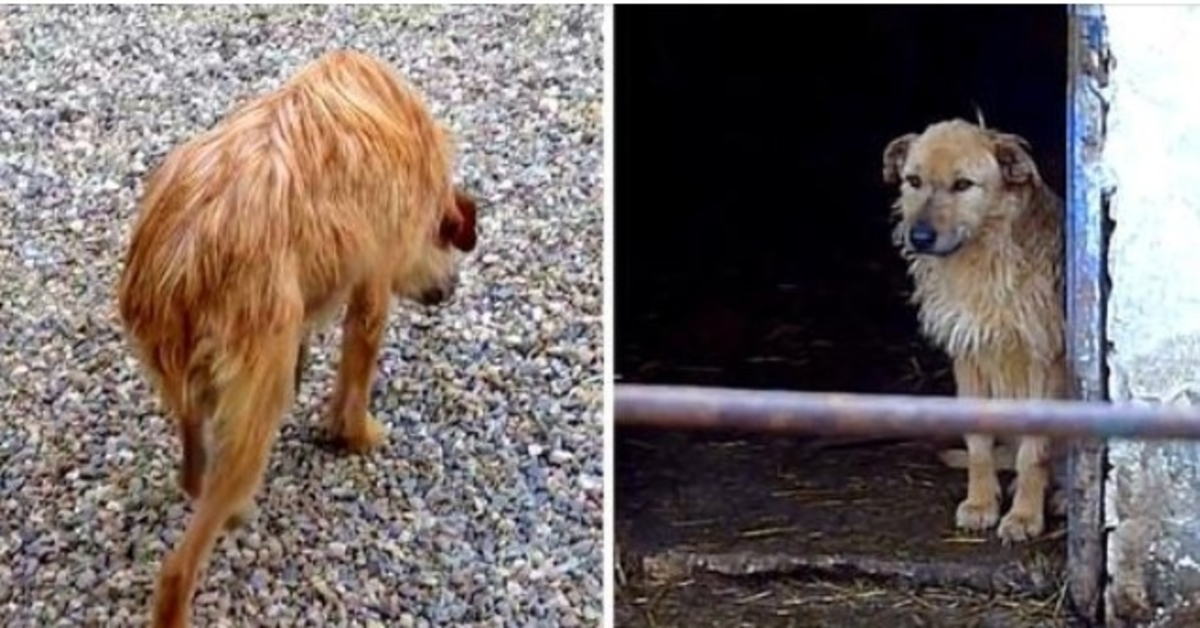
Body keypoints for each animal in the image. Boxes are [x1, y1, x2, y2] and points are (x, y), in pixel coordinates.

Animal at [115, 50, 477, 628]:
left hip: (191, 385)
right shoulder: (373, 283)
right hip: (256, 405)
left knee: (194, 471)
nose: (451, 290)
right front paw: (356, 434)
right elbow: (357, 374)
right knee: (178, 568)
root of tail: (179, 264)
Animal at [883, 117, 1070, 545]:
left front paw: (1024, 516)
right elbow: (979, 442)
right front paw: (982, 503)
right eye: (913, 180)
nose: (919, 237)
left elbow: (1035, 451)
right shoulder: (969, 355)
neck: (983, 256)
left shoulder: (1045, 359)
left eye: (963, 184)